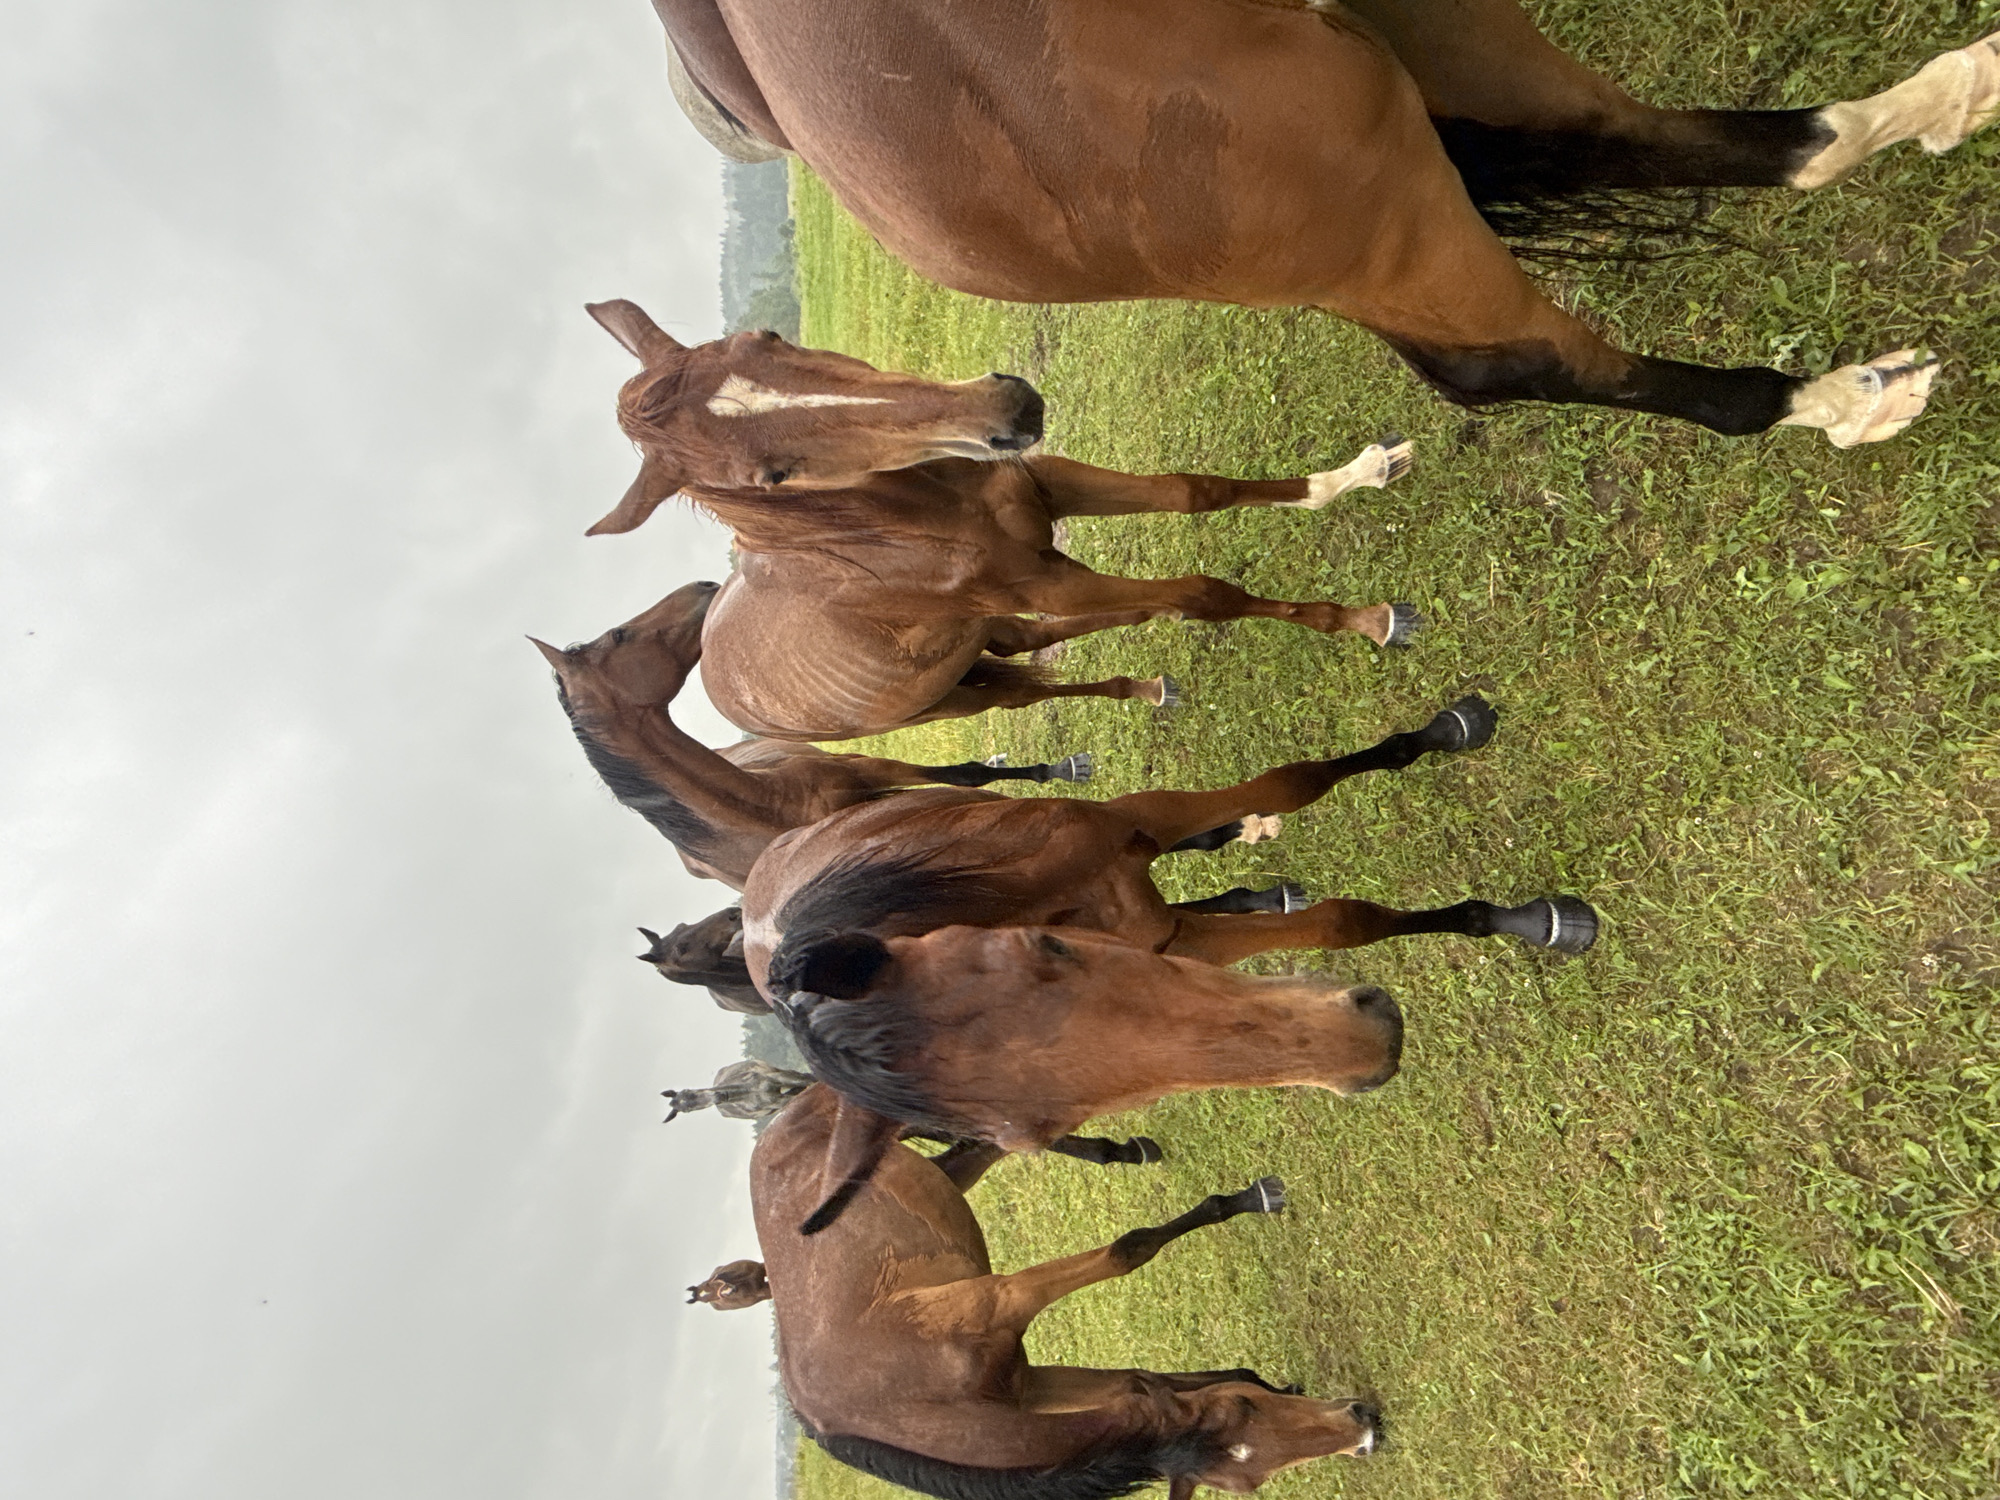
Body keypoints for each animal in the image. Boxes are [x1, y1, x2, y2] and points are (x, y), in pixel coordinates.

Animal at [533, 578, 1092, 889]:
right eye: (620, 635)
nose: (704, 587)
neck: (767, 804)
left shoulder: (865, 769)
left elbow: (966, 776)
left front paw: (1059, 771)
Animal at [582, 299, 1419, 740]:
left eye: (767, 337)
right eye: (771, 477)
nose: (1006, 410)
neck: (913, 520)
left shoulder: (1045, 490)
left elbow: (1193, 491)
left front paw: (1357, 473)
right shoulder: (1039, 580)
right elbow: (1203, 594)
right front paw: (1367, 620)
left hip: (985, 634)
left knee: (1049, 638)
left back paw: (1148, 685)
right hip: (960, 691)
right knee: (1034, 686)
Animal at [701, 1083, 1382, 1497]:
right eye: (1245, 1412)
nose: (1367, 1427)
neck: (905, 1403)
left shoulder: (1007, 1308)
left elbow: (1128, 1255)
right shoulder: (1030, 1379)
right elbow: (1138, 1364)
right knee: (980, 1136)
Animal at [738, 696, 1596, 1230]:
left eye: (1042, 949)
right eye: (1049, 1130)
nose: (1367, 1048)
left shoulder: (1138, 838)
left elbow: (1298, 793)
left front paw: (1532, 915)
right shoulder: (1174, 942)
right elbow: (1339, 926)